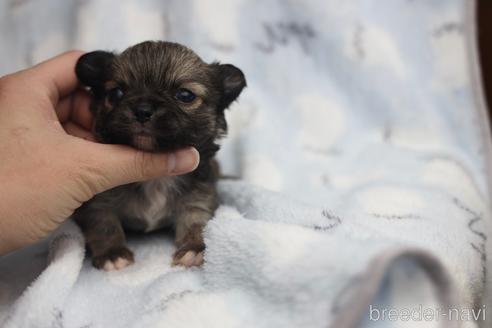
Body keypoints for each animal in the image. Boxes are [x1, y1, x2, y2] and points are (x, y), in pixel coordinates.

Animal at [72, 41, 246, 270]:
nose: (142, 110)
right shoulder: (99, 200)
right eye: (116, 93)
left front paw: (194, 249)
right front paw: (112, 254)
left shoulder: (198, 198)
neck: (156, 179)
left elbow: (196, 222)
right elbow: (104, 224)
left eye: (185, 95)